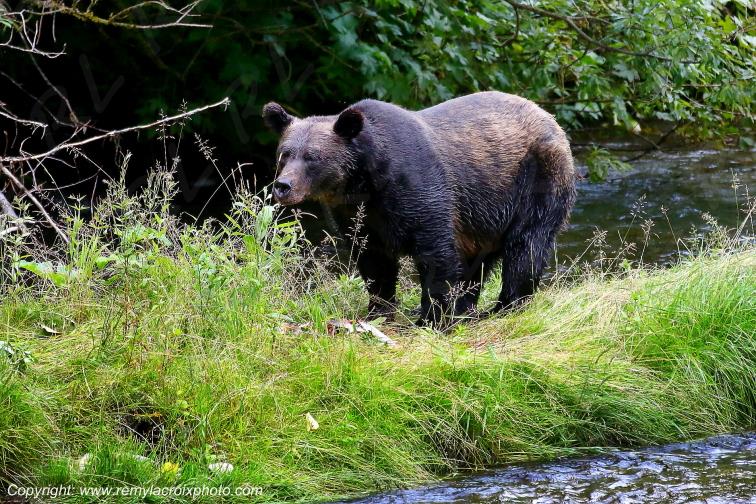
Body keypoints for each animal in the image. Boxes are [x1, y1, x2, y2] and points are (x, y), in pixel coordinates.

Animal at [262, 91, 576, 326]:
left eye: (312, 157)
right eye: (284, 154)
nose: (283, 186)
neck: (366, 181)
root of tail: (547, 115)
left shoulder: (419, 192)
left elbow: (436, 255)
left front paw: (430, 319)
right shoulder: (359, 215)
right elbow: (373, 261)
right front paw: (379, 310)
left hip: (535, 179)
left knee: (527, 246)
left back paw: (505, 306)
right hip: (485, 216)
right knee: (480, 262)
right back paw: (468, 307)